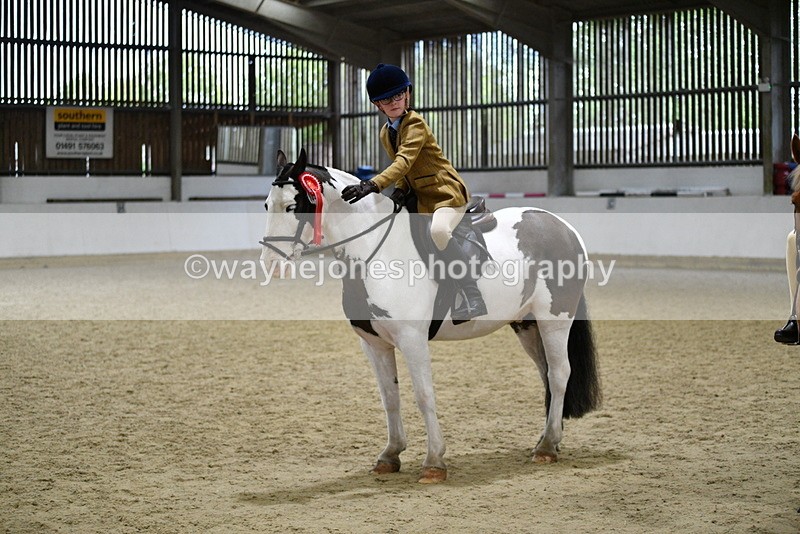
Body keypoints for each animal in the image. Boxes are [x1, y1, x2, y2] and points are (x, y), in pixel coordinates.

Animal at [260, 148, 602, 483]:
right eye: (266, 205)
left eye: (293, 206)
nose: (271, 265)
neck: (376, 252)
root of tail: (565, 228)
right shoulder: (374, 344)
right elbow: (390, 397)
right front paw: (390, 455)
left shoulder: (413, 340)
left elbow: (424, 395)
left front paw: (434, 461)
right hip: (527, 325)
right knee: (546, 374)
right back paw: (548, 439)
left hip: (555, 319)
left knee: (559, 374)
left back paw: (547, 446)